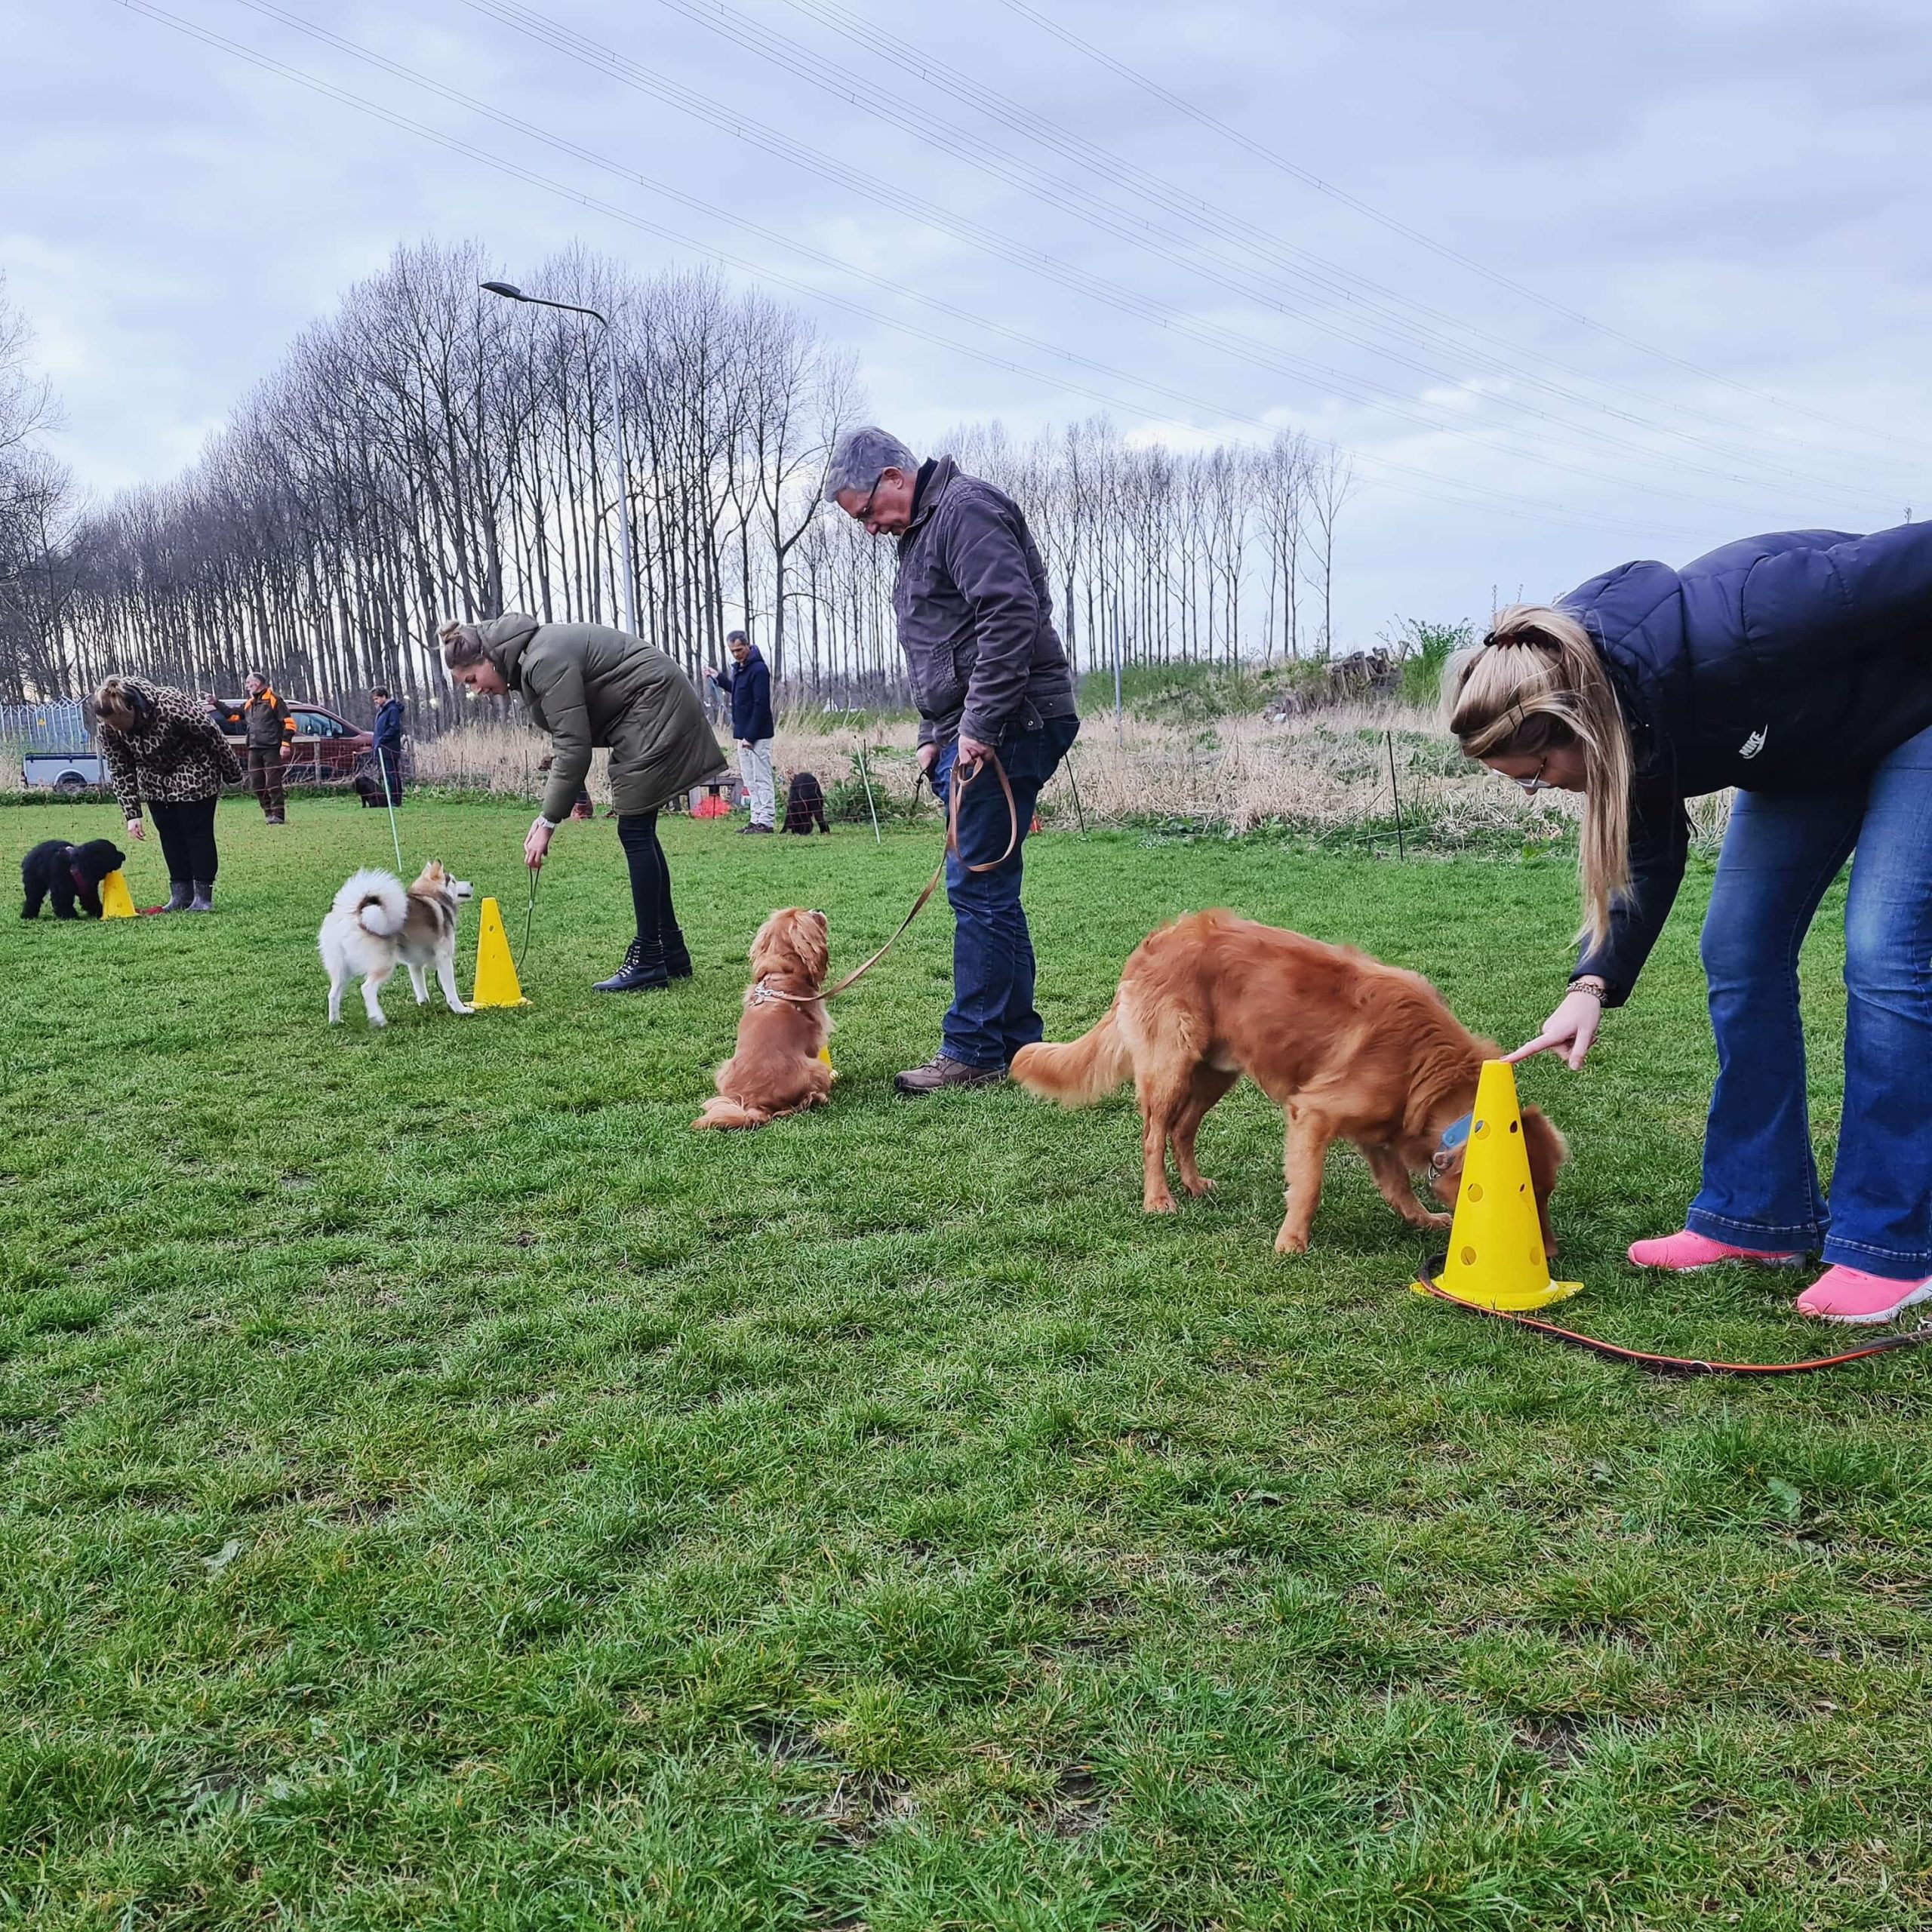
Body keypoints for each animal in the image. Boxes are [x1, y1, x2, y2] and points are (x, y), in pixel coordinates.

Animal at [22, 834, 128, 915]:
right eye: (113, 852)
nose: (124, 856)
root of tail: (31, 853)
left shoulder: (87, 889)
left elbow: (90, 900)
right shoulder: (62, 889)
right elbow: (62, 901)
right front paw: (69, 915)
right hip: (34, 883)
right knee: (33, 898)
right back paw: (27, 915)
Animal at [320, 865, 475, 1027]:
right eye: (453, 881)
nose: (472, 883)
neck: (433, 896)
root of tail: (353, 914)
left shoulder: (415, 963)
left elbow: (419, 985)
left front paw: (424, 1003)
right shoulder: (444, 958)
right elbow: (451, 990)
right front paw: (461, 1009)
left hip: (341, 970)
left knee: (333, 994)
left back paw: (335, 1021)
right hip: (383, 964)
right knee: (367, 989)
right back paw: (379, 1020)